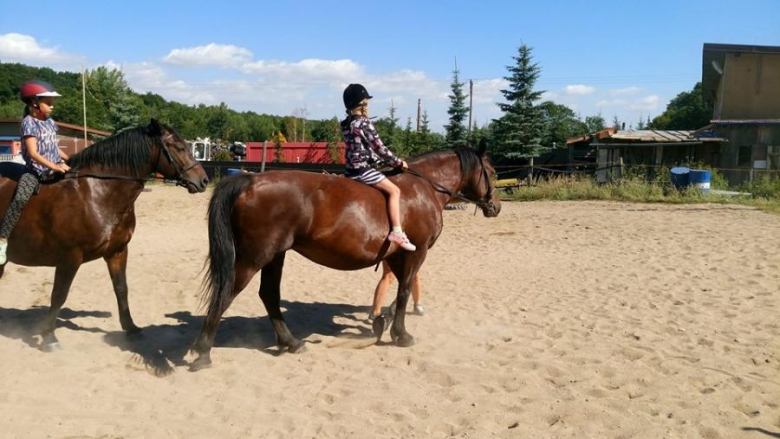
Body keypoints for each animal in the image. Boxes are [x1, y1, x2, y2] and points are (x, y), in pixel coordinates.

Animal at [0, 119, 209, 350]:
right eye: (179, 147)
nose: (204, 181)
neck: (97, 193)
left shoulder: (117, 251)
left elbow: (121, 289)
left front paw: (131, 328)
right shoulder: (69, 257)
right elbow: (59, 295)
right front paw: (49, 337)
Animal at [192, 141, 502, 372]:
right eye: (491, 170)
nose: (496, 206)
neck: (424, 189)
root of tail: (250, 181)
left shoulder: (396, 255)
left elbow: (398, 290)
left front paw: (382, 320)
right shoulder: (416, 251)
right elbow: (403, 290)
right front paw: (400, 334)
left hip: (274, 256)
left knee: (268, 295)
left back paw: (291, 342)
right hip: (254, 257)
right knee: (226, 294)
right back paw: (203, 353)